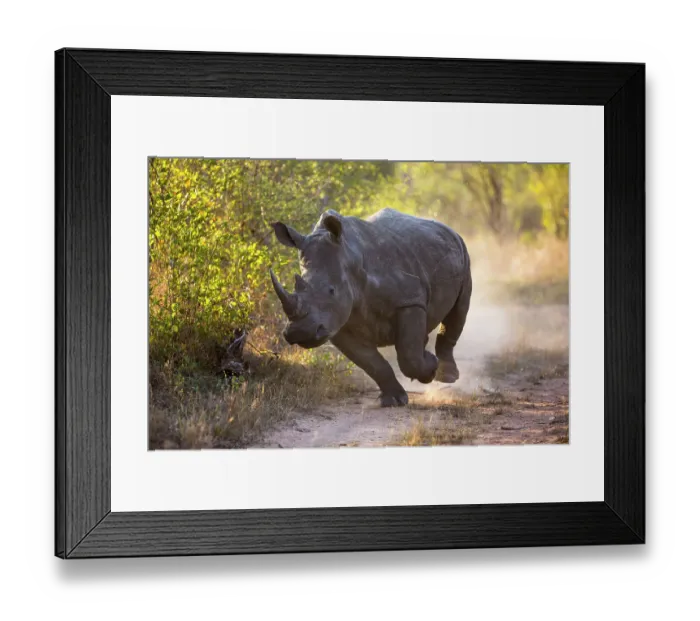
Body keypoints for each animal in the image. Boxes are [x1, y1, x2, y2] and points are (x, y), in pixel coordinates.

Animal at [269, 208, 472, 407]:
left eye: (331, 291)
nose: (300, 332)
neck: (348, 258)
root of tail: (447, 228)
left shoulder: (409, 300)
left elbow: (409, 356)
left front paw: (430, 367)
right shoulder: (338, 324)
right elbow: (372, 363)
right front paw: (394, 400)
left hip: (462, 252)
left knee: (459, 310)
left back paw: (447, 376)